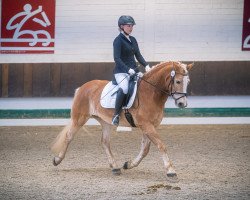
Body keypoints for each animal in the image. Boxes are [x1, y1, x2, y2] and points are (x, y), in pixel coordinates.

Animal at [51, 61, 193, 181]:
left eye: (188, 81)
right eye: (178, 81)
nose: (182, 104)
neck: (151, 93)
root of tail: (82, 87)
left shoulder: (150, 126)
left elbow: (145, 149)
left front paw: (129, 164)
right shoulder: (146, 125)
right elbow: (161, 145)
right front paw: (171, 171)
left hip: (105, 122)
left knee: (105, 142)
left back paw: (115, 167)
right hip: (79, 118)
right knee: (69, 136)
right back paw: (57, 160)